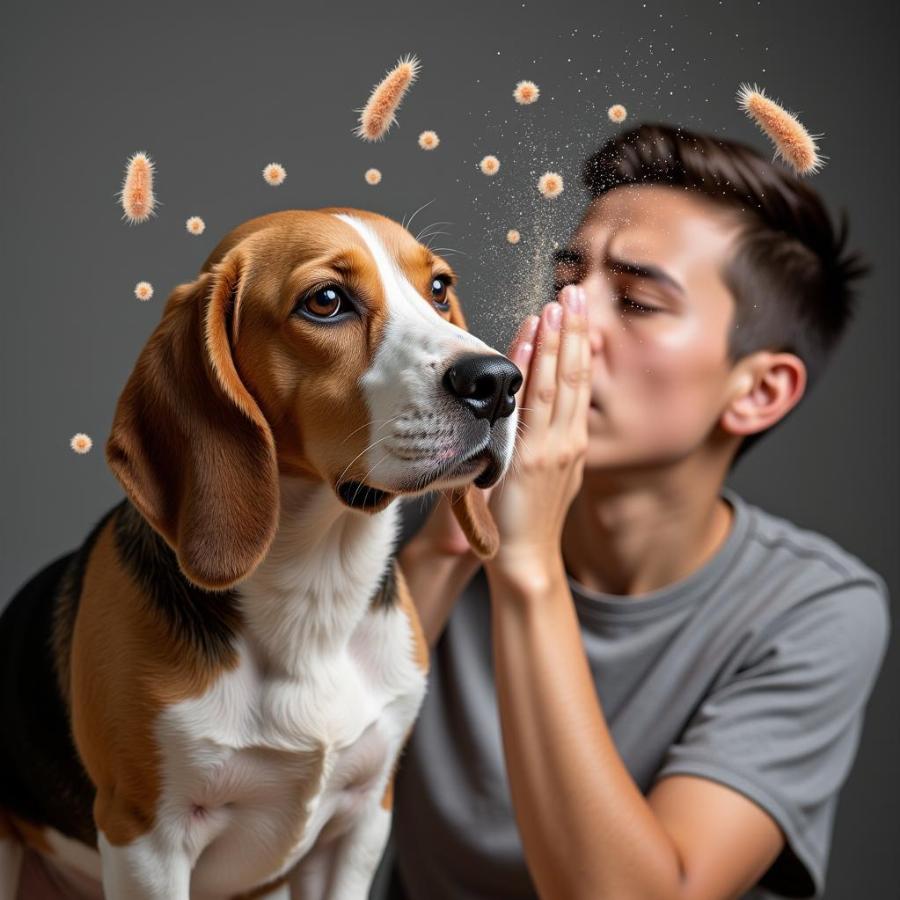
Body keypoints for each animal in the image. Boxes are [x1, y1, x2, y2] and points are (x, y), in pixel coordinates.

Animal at [0, 207, 524, 896]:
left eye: (438, 289)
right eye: (325, 301)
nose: (498, 382)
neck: (315, 589)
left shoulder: (364, 817)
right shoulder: (146, 839)